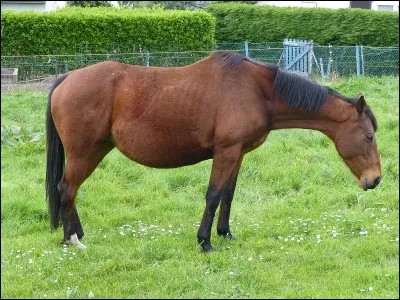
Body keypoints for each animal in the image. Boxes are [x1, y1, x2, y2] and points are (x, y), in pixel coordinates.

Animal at [45, 51, 380, 251]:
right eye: (368, 135)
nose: (375, 180)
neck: (256, 91)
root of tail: (67, 78)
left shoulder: (238, 153)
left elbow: (228, 195)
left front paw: (225, 233)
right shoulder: (226, 152)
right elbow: (214, 195)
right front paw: (205, 242)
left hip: (97, 150)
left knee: (69, 190)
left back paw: (76, 234)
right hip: (84, 152)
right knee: (67, 189)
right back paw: (71, 239)